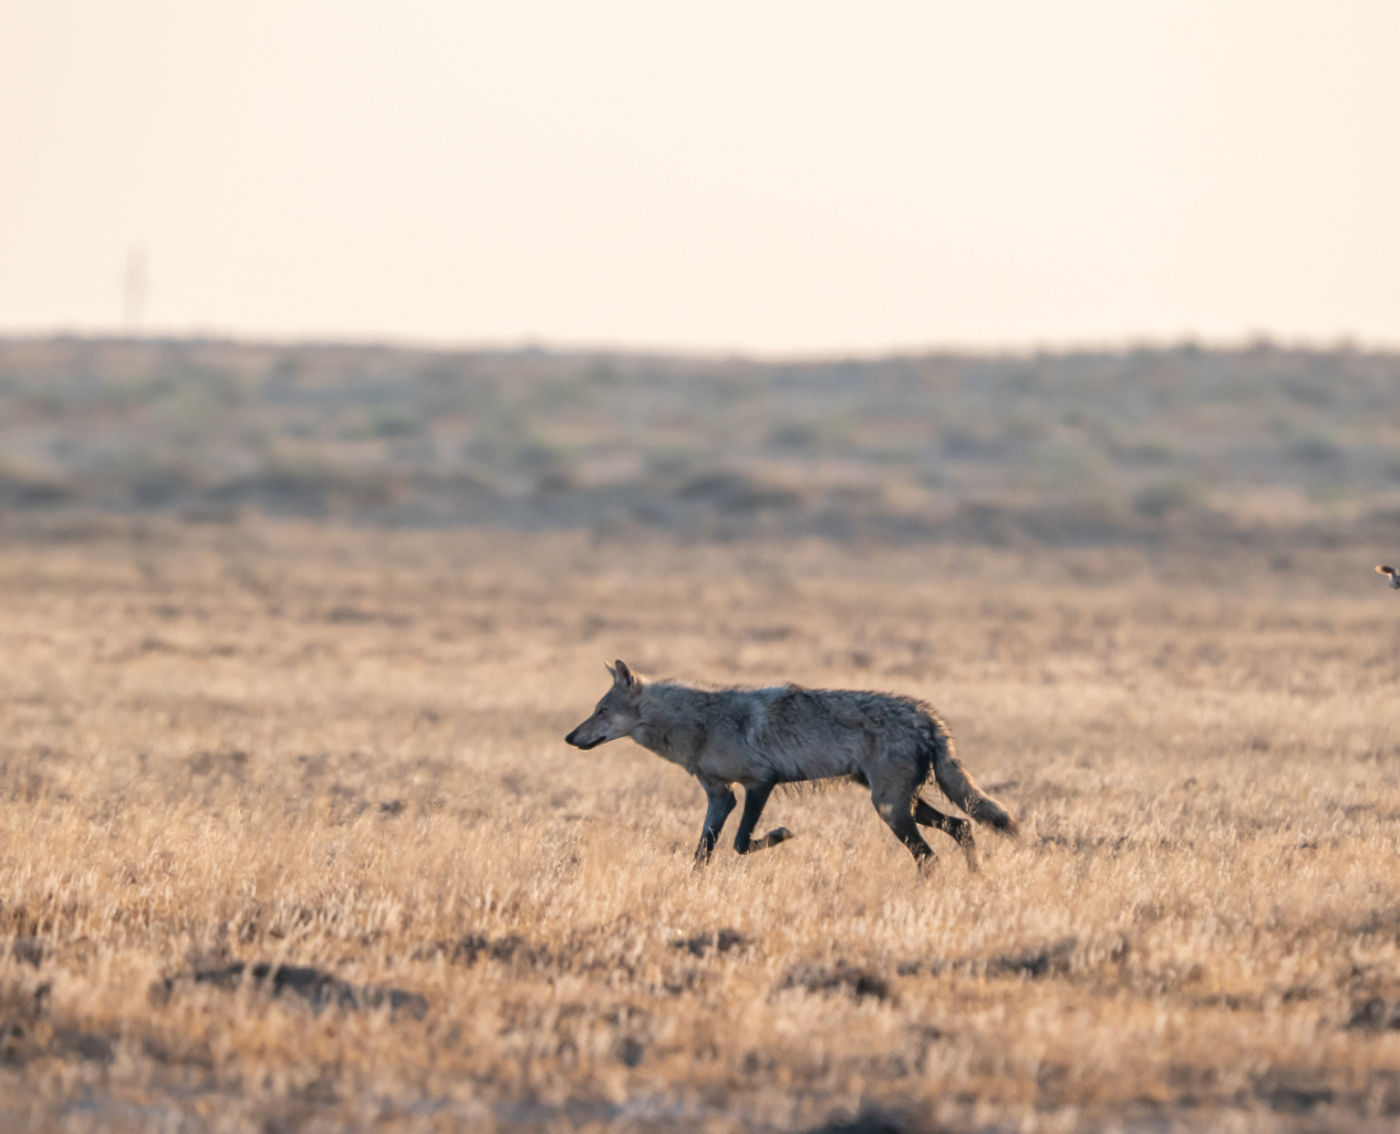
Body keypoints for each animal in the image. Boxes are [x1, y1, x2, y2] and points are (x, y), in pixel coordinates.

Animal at [565, 660, 1018, 868]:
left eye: (602, 711)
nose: (570, 737)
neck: (699, 724)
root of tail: (927, 715)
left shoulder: (759, 783)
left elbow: (741, 843)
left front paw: (781, 835)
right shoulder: (720, 797)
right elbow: (702, 853)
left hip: (890, 809)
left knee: (931, 856)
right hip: (900, 804)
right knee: (963, 827)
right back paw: (975, 882)